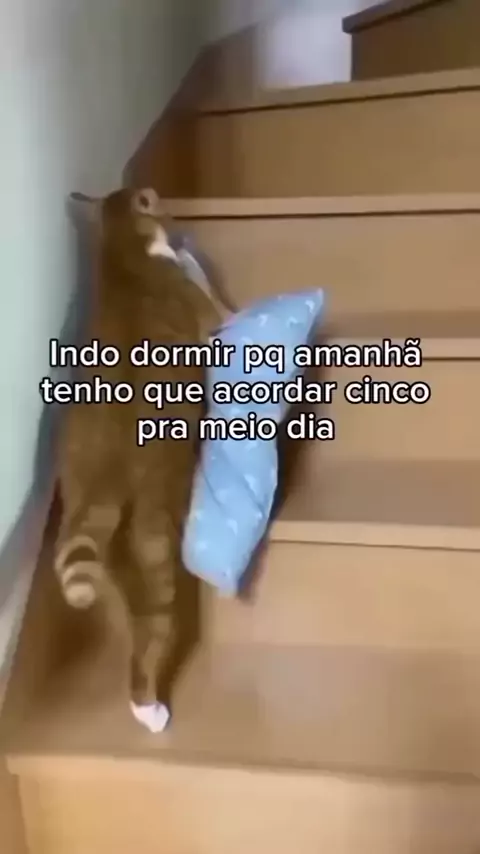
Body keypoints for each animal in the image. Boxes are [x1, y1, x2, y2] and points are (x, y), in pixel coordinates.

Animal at [54, 187, 228, 733]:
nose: (174, 222)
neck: (123, 259)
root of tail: (103, 482)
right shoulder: (210, 317)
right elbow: (208, 295)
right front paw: (190, 255)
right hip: (156, 546)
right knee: (151, 635)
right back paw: (151, 710)